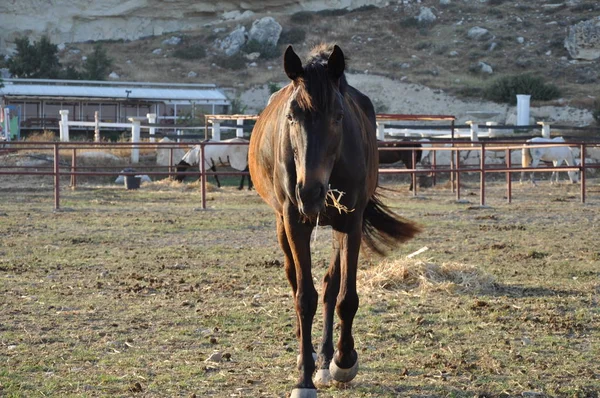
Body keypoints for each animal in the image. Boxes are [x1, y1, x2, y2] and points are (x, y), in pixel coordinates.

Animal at [246, 44, 420, 398]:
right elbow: (304, 297)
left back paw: (326, 359)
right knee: (295, 280)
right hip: (282, 223)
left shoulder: (350, 223)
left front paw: (344, 360)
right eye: (292, 116)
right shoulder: (294, 221)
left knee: (330, 285)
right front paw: (303, 378)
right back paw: (310, 355)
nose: (309, 192)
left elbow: (344, 297)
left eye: (338, 117)